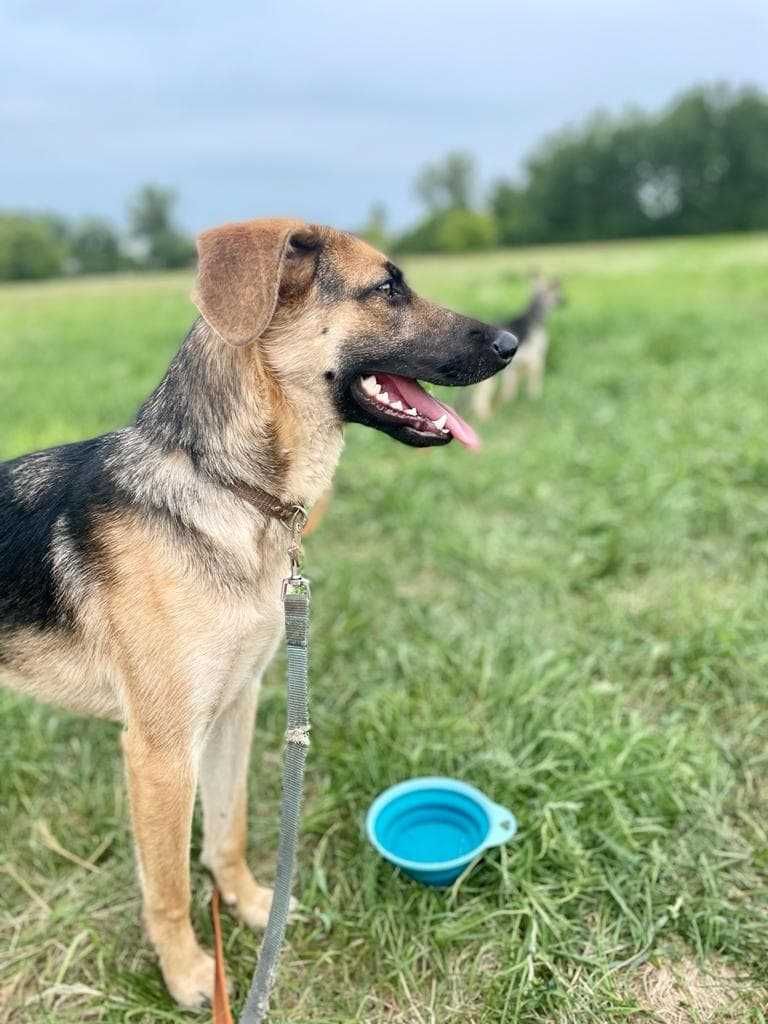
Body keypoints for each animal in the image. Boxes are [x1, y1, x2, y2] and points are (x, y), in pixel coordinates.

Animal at [0, 216, 520, 1007]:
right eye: (388, 288)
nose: (512, 342)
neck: (223, 485)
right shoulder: (159, 753)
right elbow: (168, 884)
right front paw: (189, 973)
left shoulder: (232, 709)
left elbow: (229, 828)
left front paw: (247, 907)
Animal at [468, 274, 565, 417]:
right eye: (557, 291)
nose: (566, 300)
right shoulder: (535, 359)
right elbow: (534, 382)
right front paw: (534, 399)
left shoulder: (519, 366)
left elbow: (511, 388)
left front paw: (509, 403)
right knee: (480, 397)